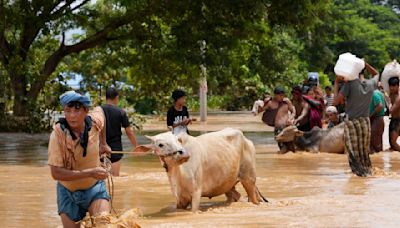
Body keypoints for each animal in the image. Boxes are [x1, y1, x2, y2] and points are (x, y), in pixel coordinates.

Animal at [136, 128, 268, 212]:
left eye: (177, 140)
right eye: (160, 144)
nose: (183, 153)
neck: (178, 174)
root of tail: (246, 139)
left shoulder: (196, 193)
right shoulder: (180, 200)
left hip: (249, 179)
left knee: (253, 198)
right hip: (228, 184)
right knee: (235, 195)